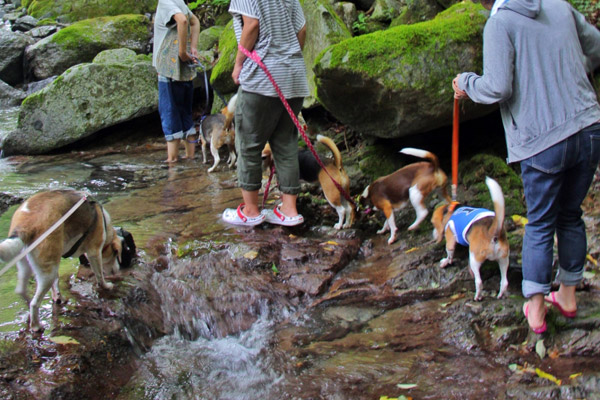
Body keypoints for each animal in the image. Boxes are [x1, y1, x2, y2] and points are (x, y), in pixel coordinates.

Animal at [0, 191, 126, 332]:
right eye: (115, 254)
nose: (117, 271)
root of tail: (26, 224)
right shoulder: (94, 252)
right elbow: (99, 275)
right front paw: (106, 286)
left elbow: (56, 282)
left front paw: (57, 296)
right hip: (47, 274)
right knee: (34, 303)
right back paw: (36, 326)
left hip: (27, 266)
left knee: (21, 291)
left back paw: (30, 316)